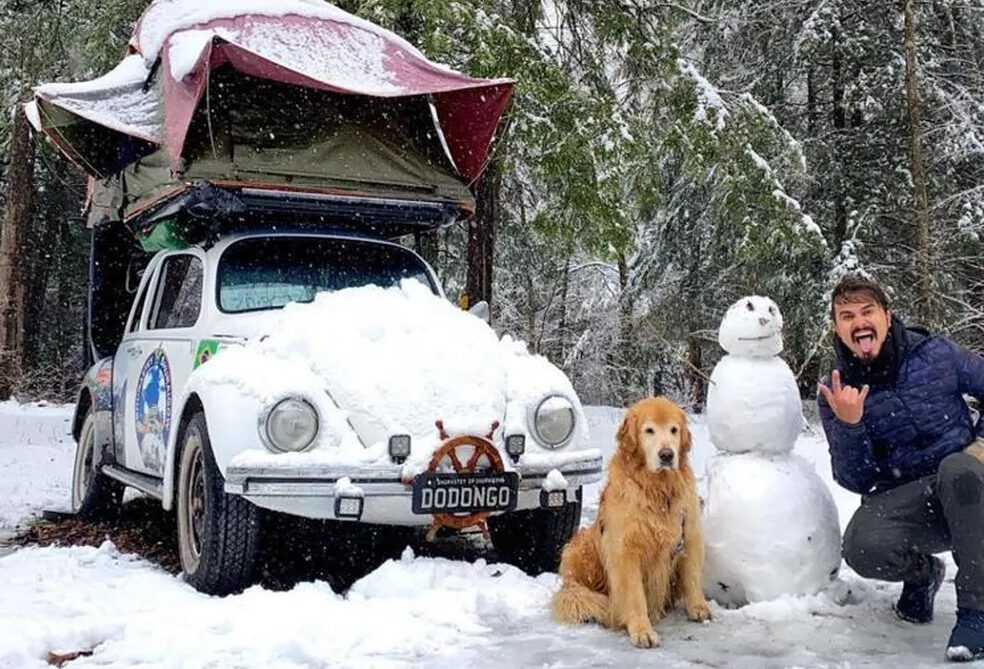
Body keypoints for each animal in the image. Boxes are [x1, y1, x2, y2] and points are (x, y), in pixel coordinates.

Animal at [552, 396, 708, 648]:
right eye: (649, 430)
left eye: (674, 430)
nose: (667, 455)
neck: (658, 490)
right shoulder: (625, 549)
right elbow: (634, 595)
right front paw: (642, 631)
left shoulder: (689, 532)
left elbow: (692, 576)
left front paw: (699, 607)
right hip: (579, 546)